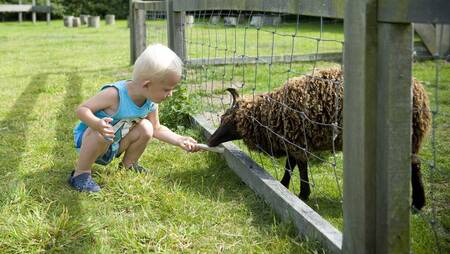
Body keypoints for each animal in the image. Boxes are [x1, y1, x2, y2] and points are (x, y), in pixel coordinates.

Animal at [207, 68, 432, 210]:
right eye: (222, 117)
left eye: (229, 121)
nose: (210, 141)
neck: (273, 113)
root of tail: (420, 90)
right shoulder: (293, 141)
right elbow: (290, 165)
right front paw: (284, 185)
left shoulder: (298, 141)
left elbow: (300, 167)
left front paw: (302, 194)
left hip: (410, 138)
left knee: (415, 165)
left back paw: (418, 203)